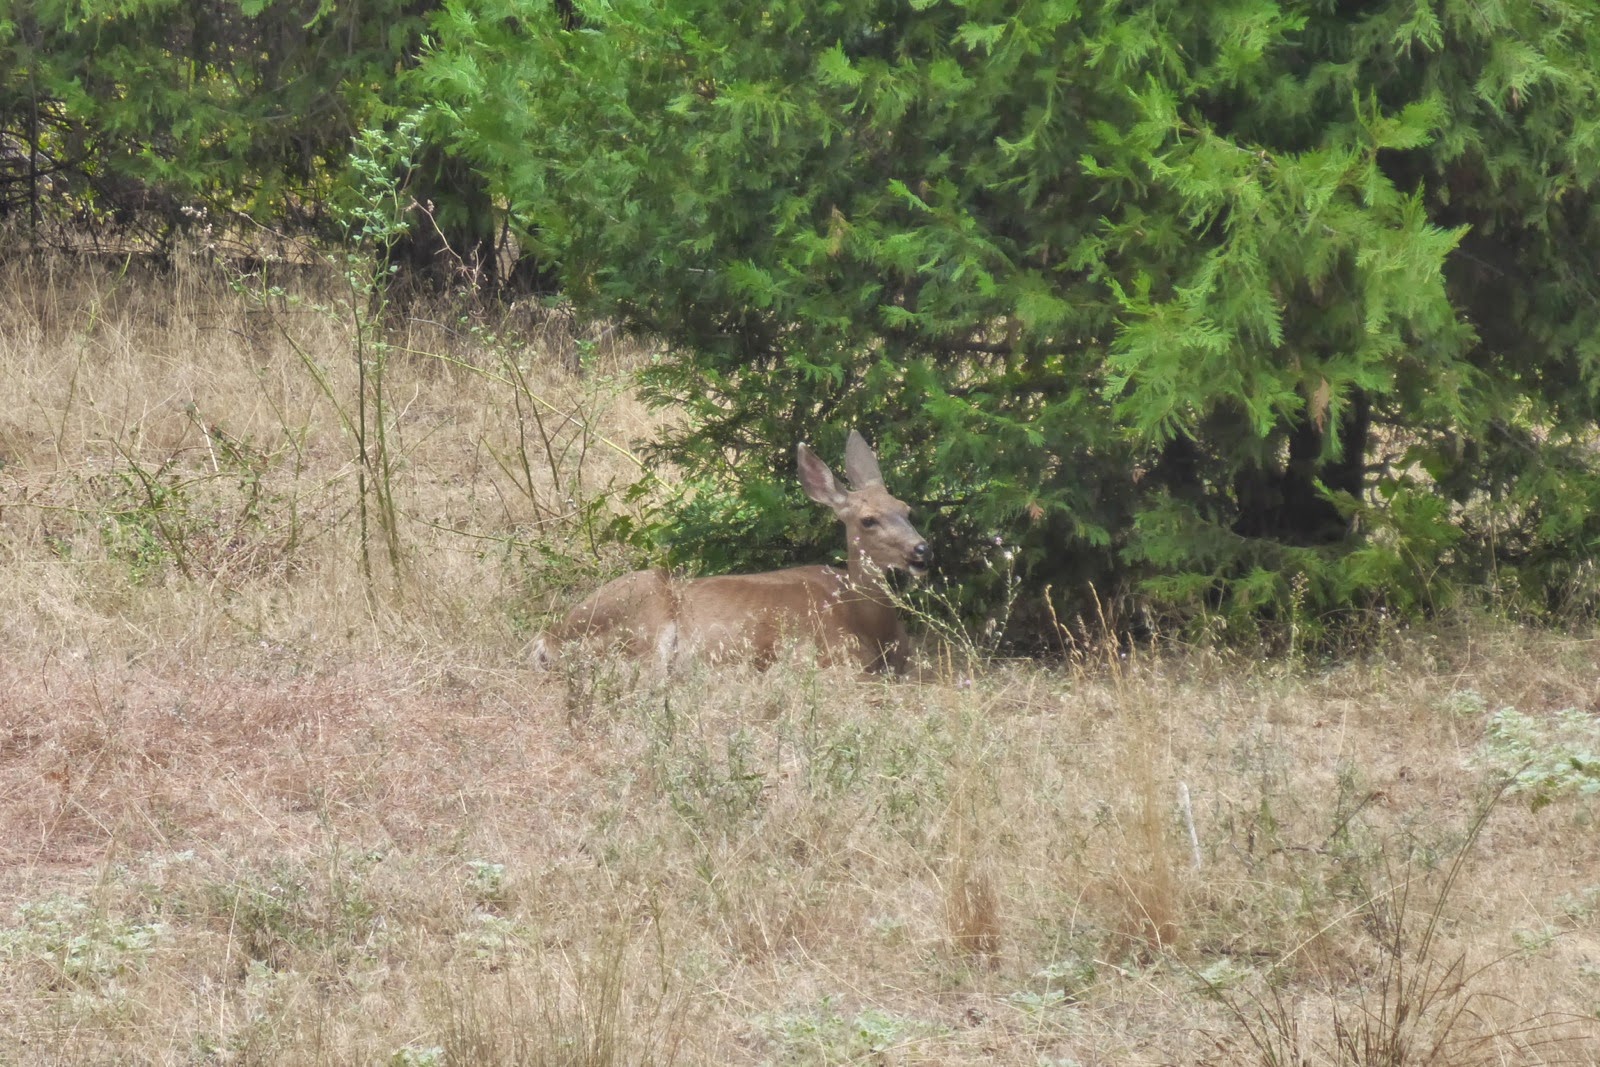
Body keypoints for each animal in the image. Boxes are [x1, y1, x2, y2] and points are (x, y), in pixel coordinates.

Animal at [538, 430, 930, 674]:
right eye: (868, 520)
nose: (922, 550)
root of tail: (548, 639)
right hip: (645, 619)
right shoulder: (826, 654)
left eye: (907, 509)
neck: (866, 621)